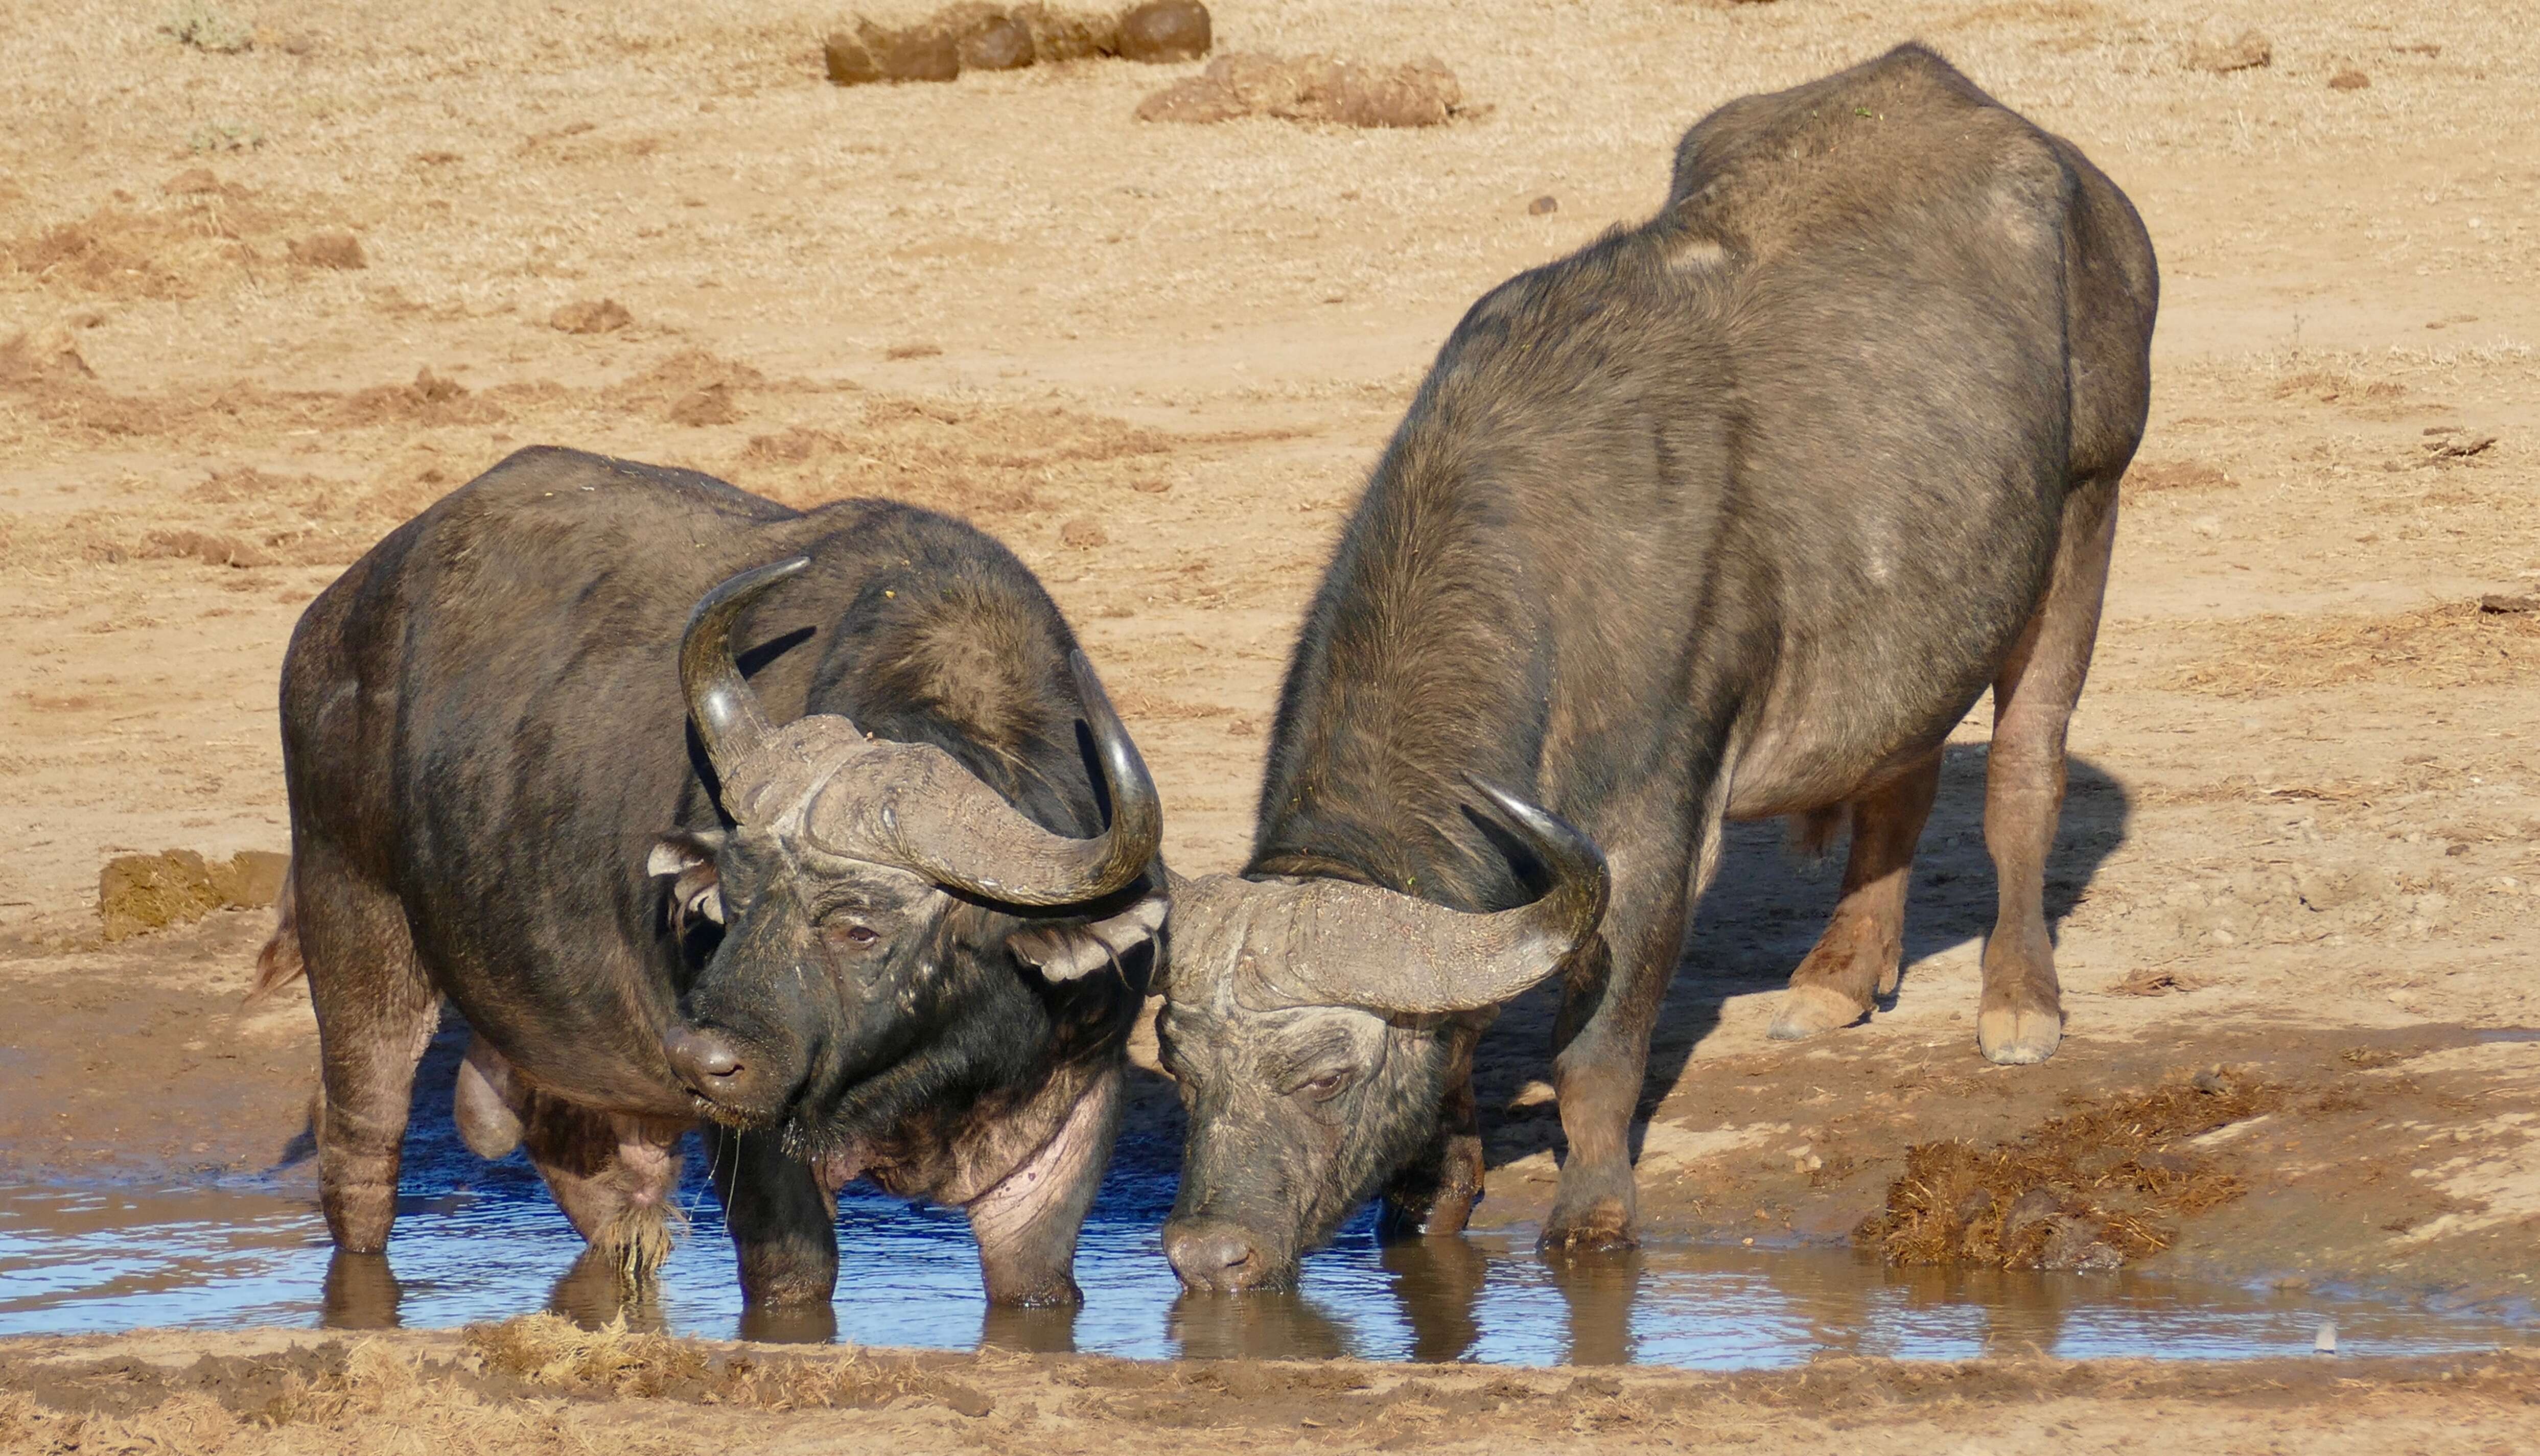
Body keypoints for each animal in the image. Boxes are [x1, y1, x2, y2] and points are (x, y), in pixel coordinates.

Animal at [252, 450, 1163, 1311]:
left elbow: (1036, 1283)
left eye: (858, 927)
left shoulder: (1071, 1118)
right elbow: (794, 1281)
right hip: (352, 914)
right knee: (360, 1150)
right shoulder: (753, 1147)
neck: (922, 1076)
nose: (699, 1057)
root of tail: (334, 618)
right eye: (733, 902)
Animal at [1153, 45, 2164, 1290]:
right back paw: (1834, 981)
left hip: (2086, 503)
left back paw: (2019, 1004)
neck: (1544, 549)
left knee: (2024, 766)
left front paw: (1592, 1212)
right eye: (1183, 1073)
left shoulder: (1649, 832)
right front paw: (1433, 1195)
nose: (1208, 1254)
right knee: (1900, 767)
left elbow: (1598, 1047)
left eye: (1324, 1075)